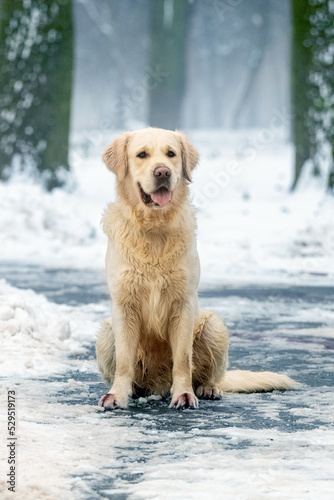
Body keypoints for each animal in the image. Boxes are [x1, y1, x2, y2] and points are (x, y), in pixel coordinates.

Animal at [95, 127, 296, 408]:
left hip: (214, 327)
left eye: (171, 154)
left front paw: (184, 394)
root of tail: (157, 385)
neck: (154, 229)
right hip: (106, 332)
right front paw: (117, 395)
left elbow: (182, 359)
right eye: (142, 155)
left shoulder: (183, 303)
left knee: (209, 374)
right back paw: (135, 390)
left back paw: (208, 388)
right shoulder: (124, 305)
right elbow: (125, 362)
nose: (163, 172)